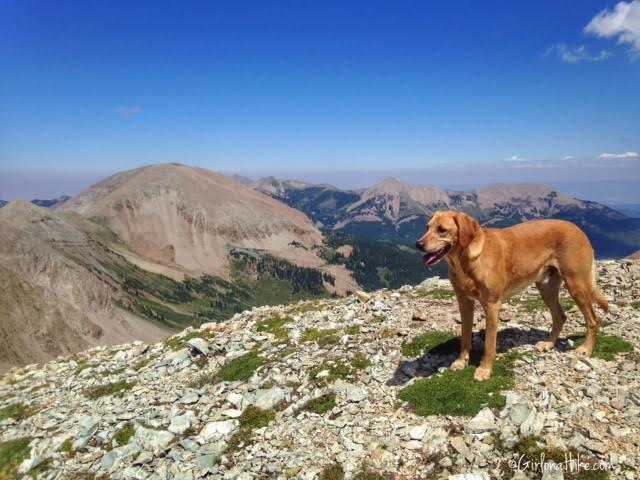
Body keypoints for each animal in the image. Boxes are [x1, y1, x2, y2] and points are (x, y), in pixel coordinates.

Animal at [418, 212, 608, 380]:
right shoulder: (464, 303)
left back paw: (586, 349)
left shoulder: (492, 306)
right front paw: (461, 361)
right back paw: (548, 344)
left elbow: (489, 345)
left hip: (577, 285)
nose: (418, 244)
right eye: (427, 227)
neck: (465, 260)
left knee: (593, 320)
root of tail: (578, 228)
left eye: (442, 230)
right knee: (560, 316)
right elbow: (465, 336)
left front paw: (484, 370)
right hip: (546, 288)